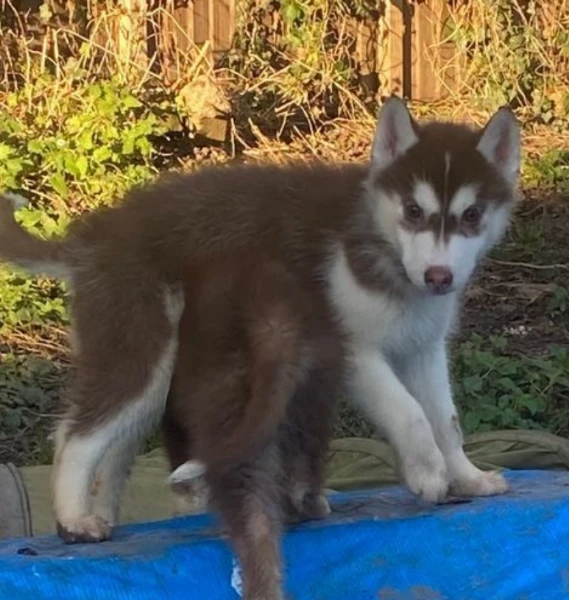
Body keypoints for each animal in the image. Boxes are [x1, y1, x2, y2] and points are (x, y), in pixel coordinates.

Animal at [0, 99, 516, 600]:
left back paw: (103, 516)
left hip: (154, 373)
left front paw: (467, 477)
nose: (438, 277)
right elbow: (409, 411)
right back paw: (73, 519)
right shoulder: (353, 349)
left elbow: (446, 421)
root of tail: (93, 236)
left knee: (116, 445)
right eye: (412, 211)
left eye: (471, 216)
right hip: (141, 346)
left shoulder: (424, 349)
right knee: (76, 436)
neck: (378, 244)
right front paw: (428, 474)